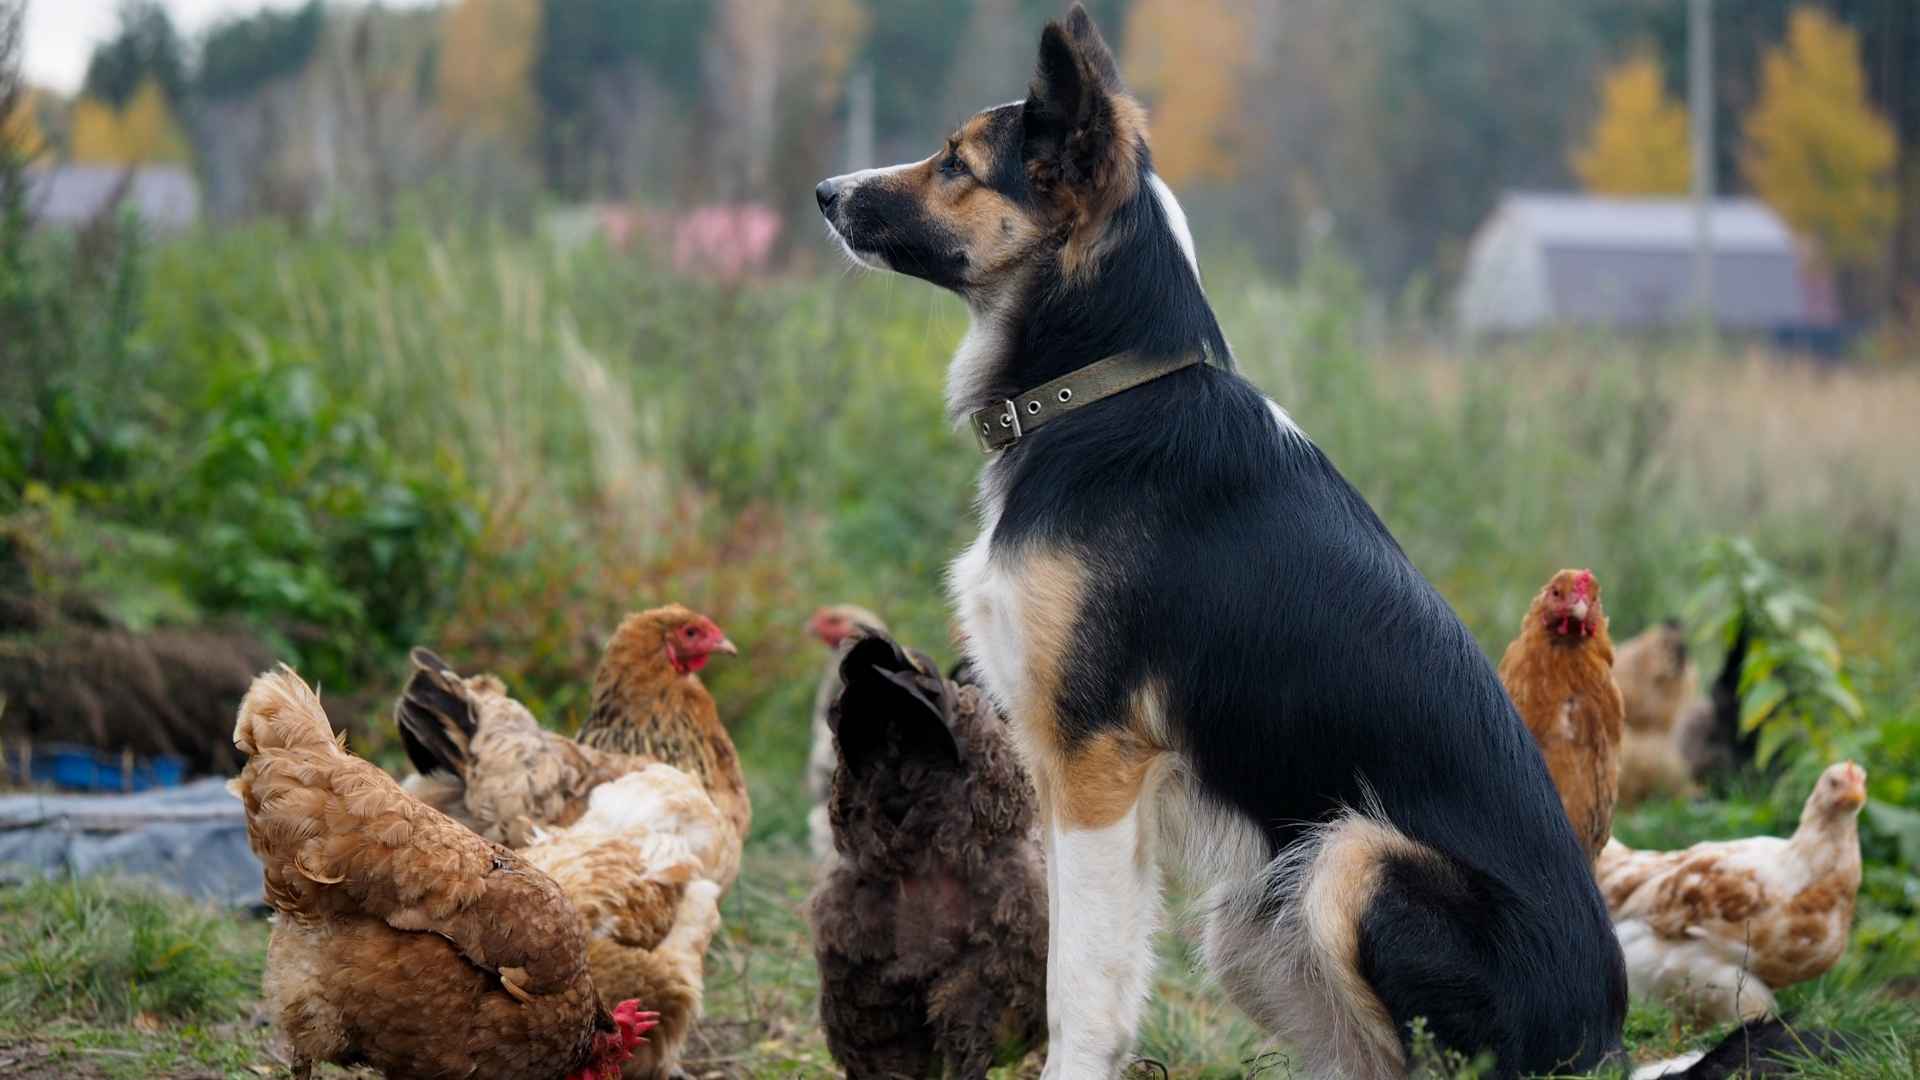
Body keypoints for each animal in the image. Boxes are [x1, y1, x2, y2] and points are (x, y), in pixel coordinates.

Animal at [817, 10, 1628, 1076]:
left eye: (956, 162)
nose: (825, 193)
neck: (1100, 390)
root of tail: (1605, 1036)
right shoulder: (1078, 782)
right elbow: (1100, 972)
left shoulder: (1095, 765)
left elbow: (1077, 988)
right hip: (1256, 920)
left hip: (1352, 861)